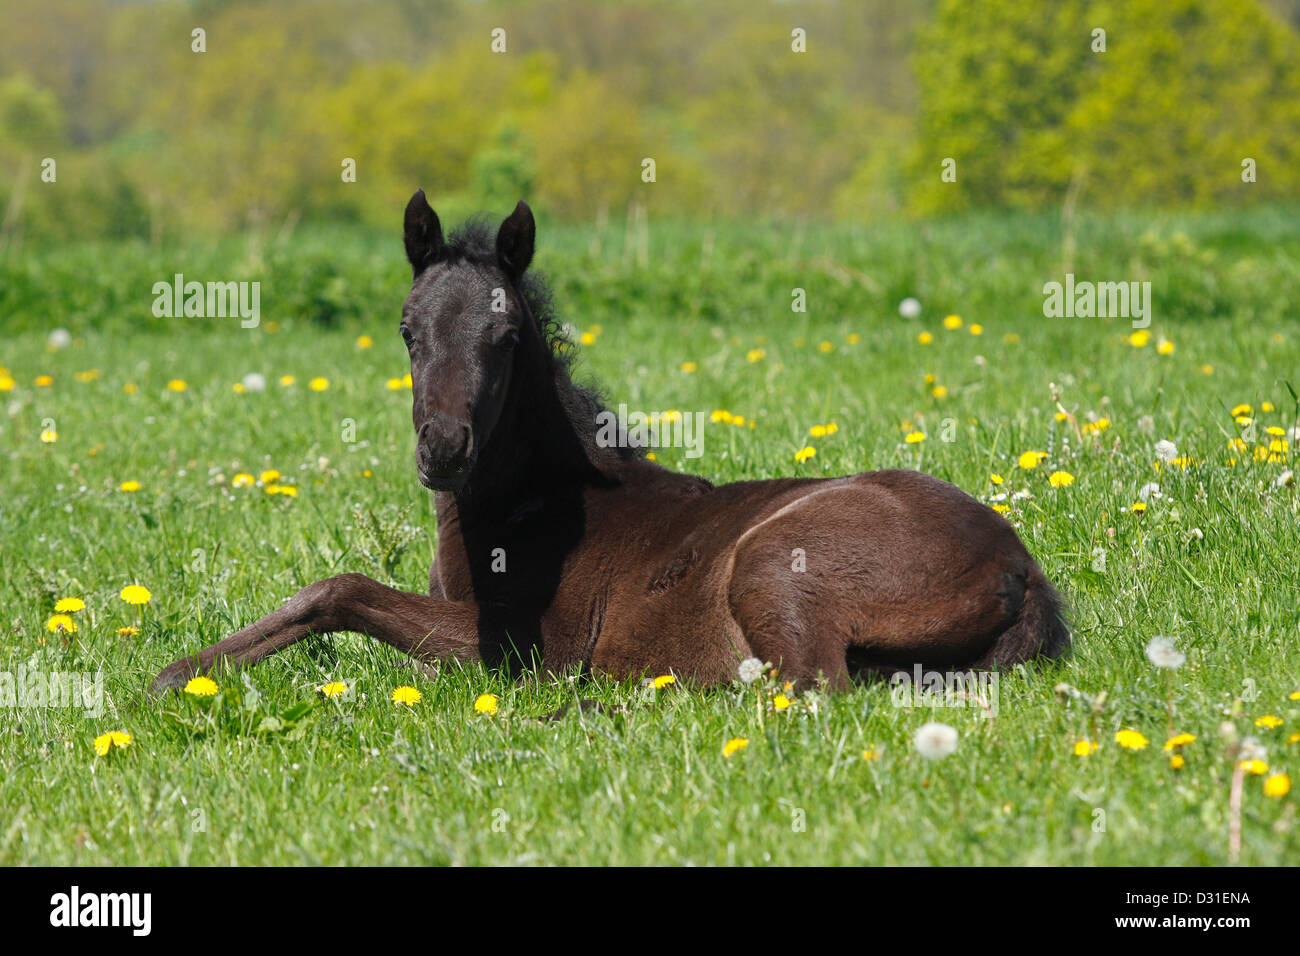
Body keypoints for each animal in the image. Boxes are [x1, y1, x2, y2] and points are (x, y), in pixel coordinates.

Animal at [152, 195, 1066, 691]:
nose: (443, 450)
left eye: (507, 337)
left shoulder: (526, 648)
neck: (528, 510)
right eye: (407, 330)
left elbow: (338, 589)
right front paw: (185, 672)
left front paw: (176, 675)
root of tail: (1020, 568)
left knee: (808, 689)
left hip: (775, 564)